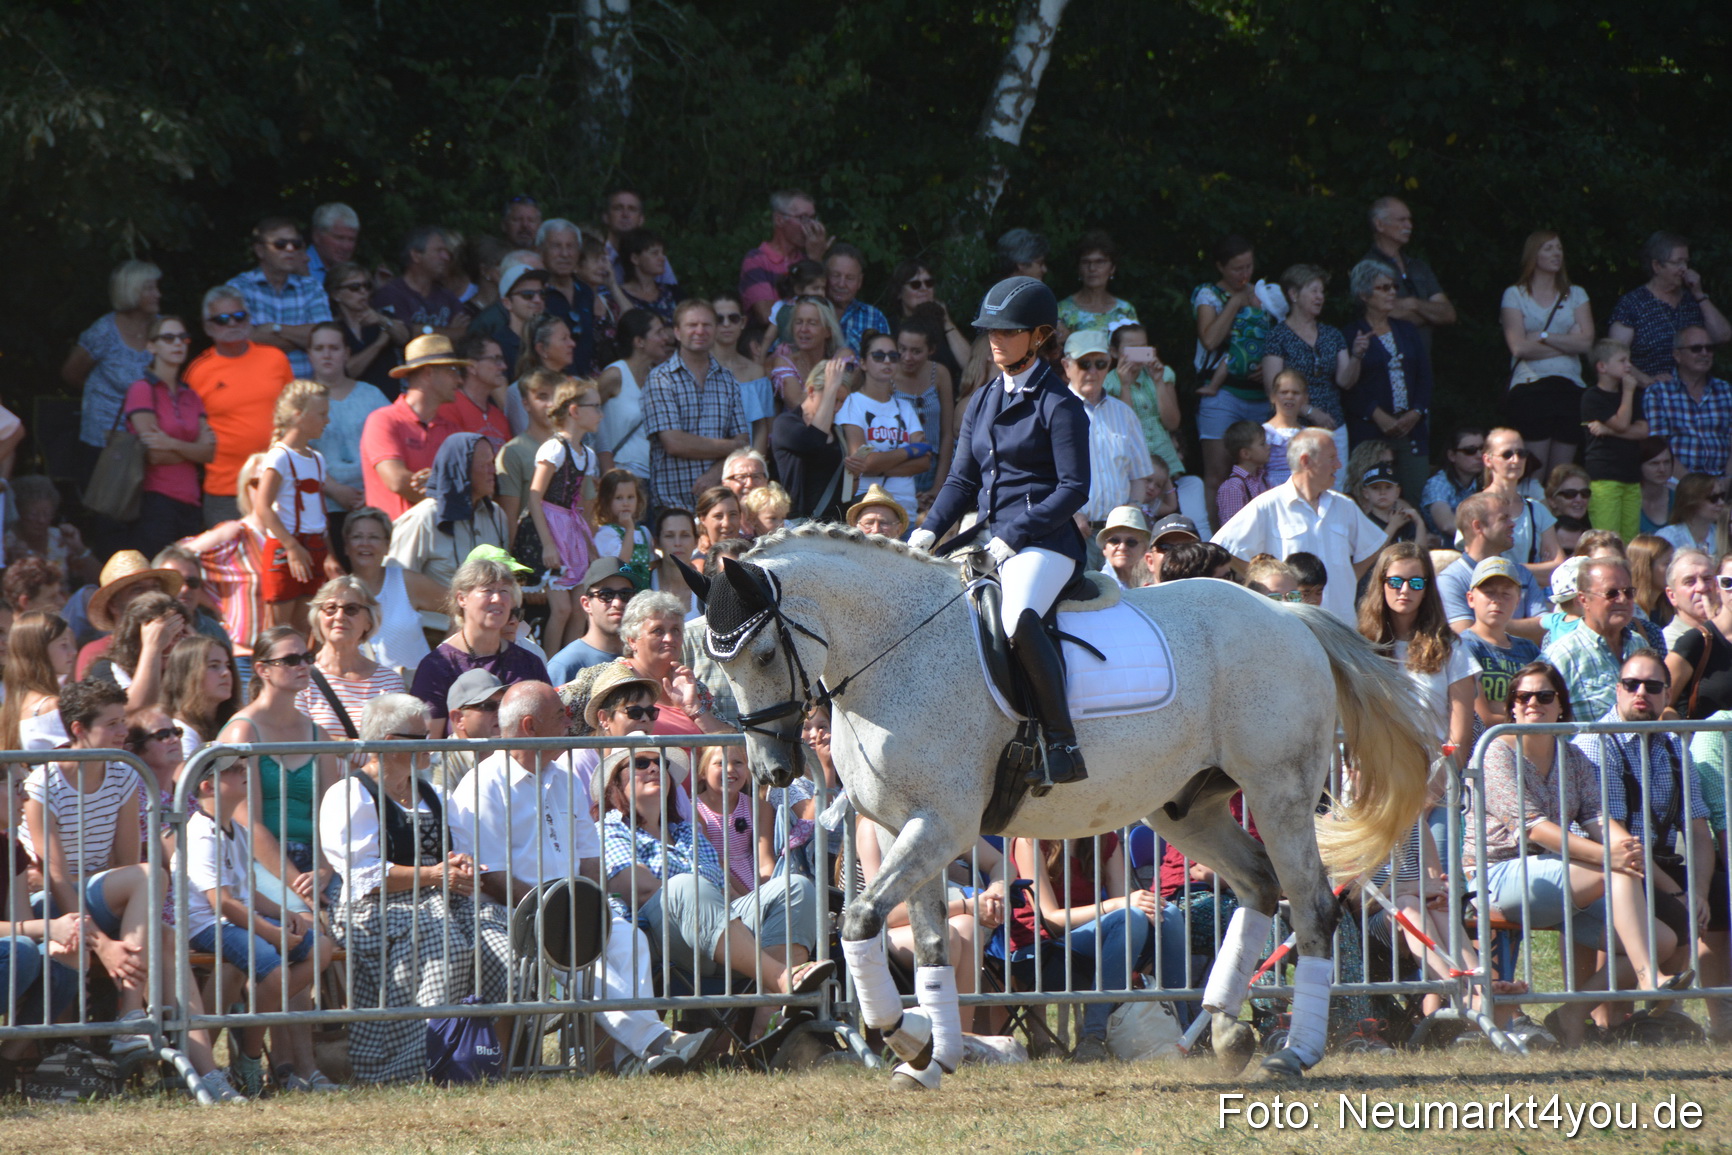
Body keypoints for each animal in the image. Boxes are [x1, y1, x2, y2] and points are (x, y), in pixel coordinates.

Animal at [691, 522, 1431, 1088]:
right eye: (717, 664)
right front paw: (934, 1055)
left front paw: (911, 1038)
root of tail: (1286, 615)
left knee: (1310, 904)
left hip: (1279, 790)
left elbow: (860, 920)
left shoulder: (940, 825)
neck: (894, 651)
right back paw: (1226, 1033)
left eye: (763, 654)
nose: (774, 769)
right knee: (1257, 885)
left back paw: (1293, 1051)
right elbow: (927, 943)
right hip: (1186, 806)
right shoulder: (911, 828)